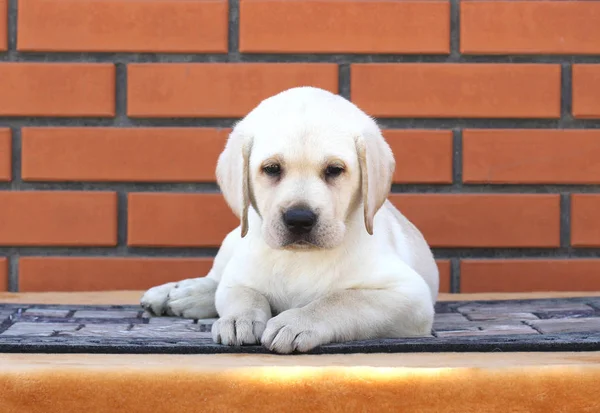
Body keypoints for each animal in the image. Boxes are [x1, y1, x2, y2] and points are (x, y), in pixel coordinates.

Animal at [141, 86, 440, 354]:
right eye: (272, 168)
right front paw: (238, 320)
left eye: (335, 170)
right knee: (215, 278)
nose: (299, 219)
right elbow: (245, 293)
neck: (299, 258)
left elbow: (342, 299)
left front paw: (296, 322)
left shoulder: (409, 295)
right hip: (232, 240)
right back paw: (178, 293)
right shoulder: (238, 277)